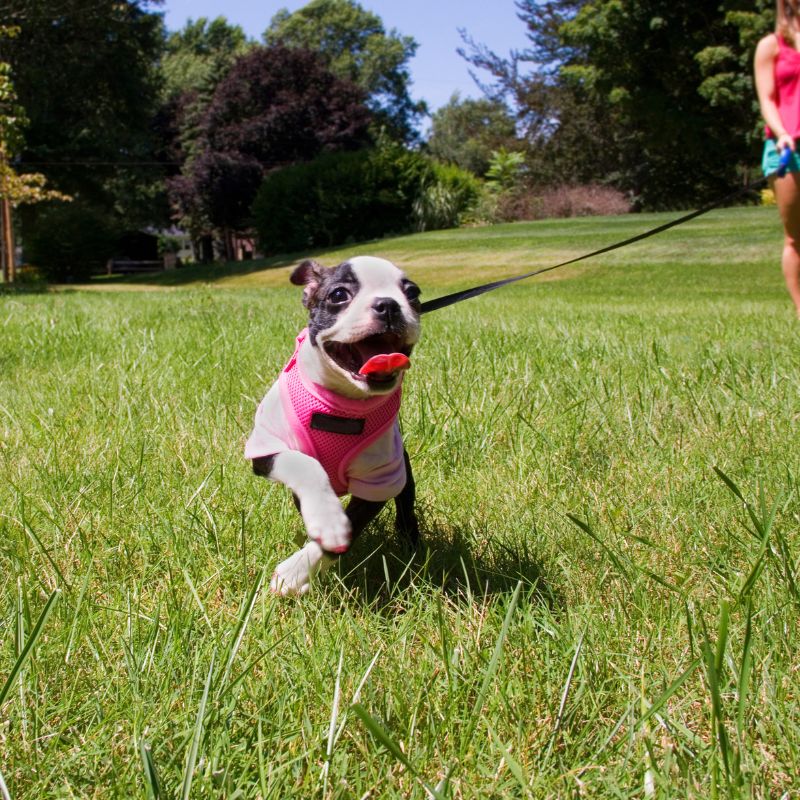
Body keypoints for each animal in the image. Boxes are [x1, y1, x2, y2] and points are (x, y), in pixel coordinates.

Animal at [245, 255, 422, 592]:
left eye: (413, 293)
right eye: (339, 295)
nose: (388, 305)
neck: (341, 404)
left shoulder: (380, 478)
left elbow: (351, 526)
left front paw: (296, 572)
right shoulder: (266, 448)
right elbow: (305, 464)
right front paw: (326, 519)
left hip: (402, 469)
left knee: (406, 503)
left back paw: (410, 542)